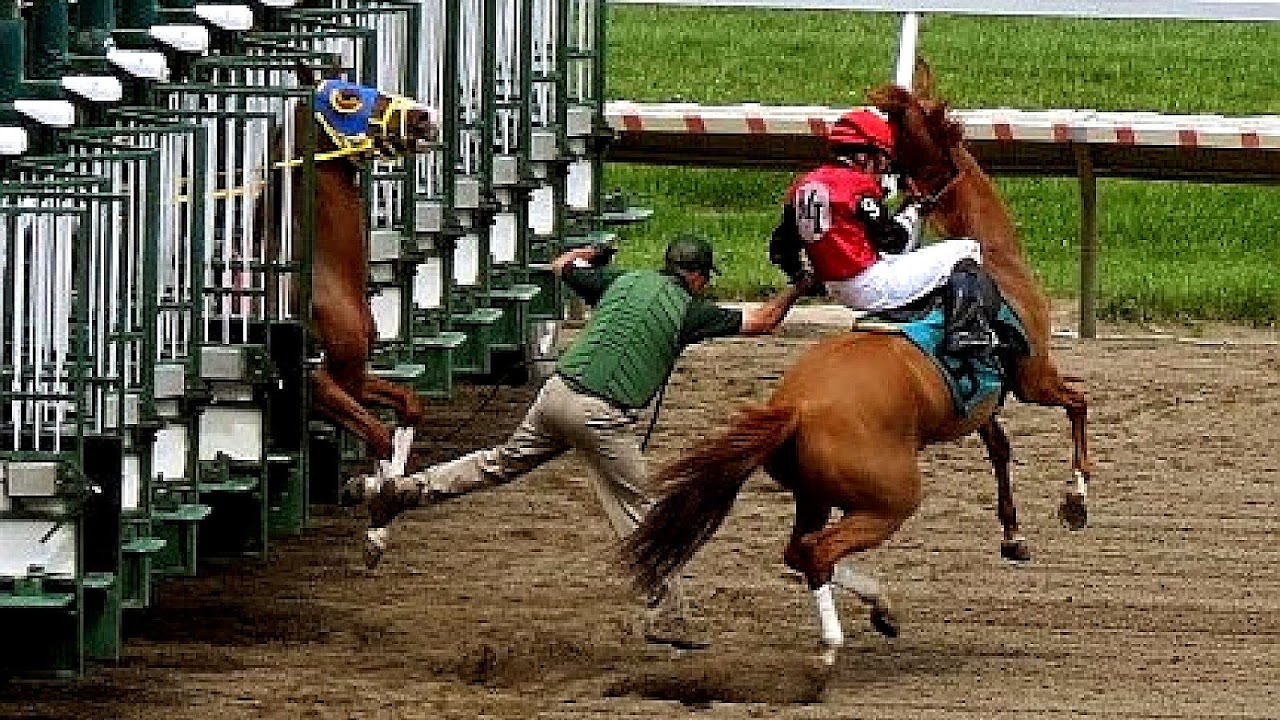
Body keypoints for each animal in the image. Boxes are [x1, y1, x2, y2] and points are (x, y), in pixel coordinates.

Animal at [279, 68, 437, 466]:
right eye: (346, 96)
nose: (425, 116)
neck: (327, 281)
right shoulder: (316, 384)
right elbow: (379, 436)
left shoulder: (354, 376)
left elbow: (409, 404)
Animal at [622, 79, 1092, 665]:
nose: (903, 178)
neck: (998, 259)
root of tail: (793, 407)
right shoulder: (1033, 378)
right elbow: (1077, 404)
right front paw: (1075, 502)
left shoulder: (981, 400)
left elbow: (1001, 450)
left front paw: (1013, 534)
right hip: (889, 497)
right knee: (817, 553)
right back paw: (831, 646)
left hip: (815, 494)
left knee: (799, 550)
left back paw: (879, 609)